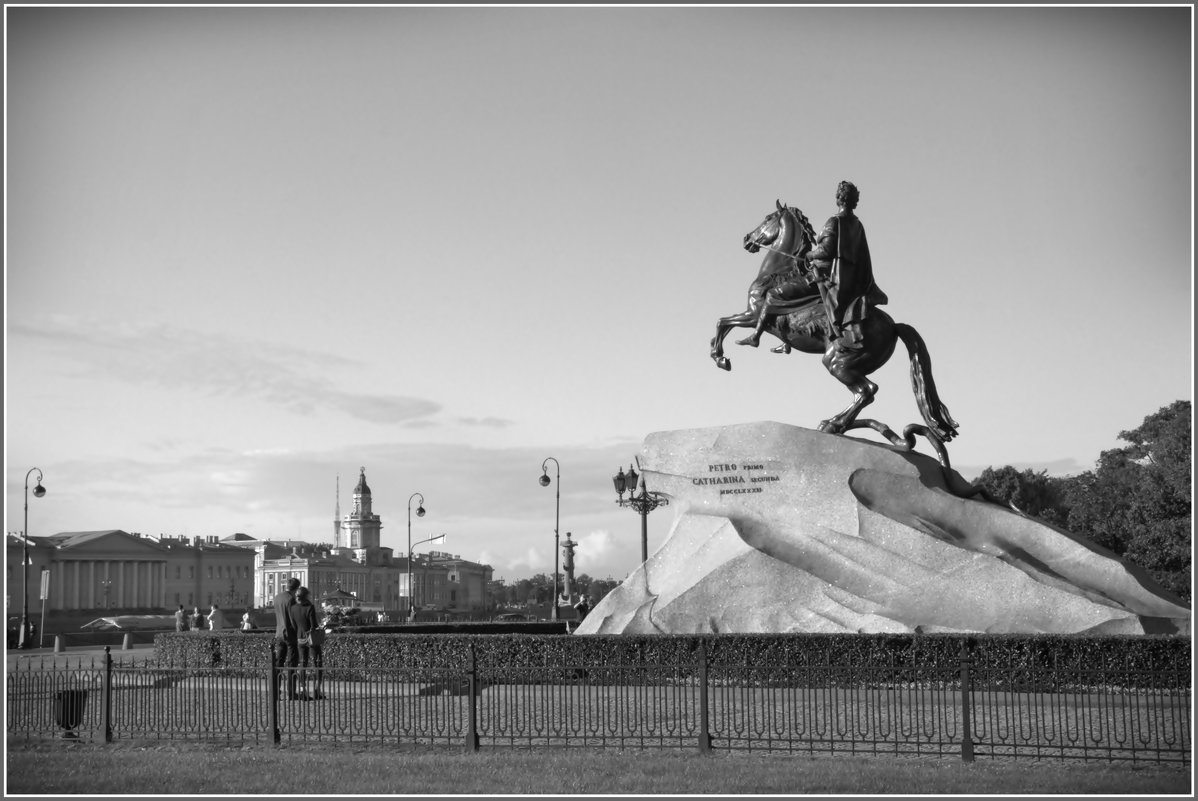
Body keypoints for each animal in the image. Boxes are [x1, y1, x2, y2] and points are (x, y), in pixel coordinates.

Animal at [709, 199, 953, 443]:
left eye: (768, 218)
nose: (747, 239)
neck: (779, 272)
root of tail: (893, 326)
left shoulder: (752, 314)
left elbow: (723, 323)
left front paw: (723, 357)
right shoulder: (752, 315)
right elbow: (723, 325)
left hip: (837, 362)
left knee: (867, 391)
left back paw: (832, 424)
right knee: (865, 393)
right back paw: (834, 423)